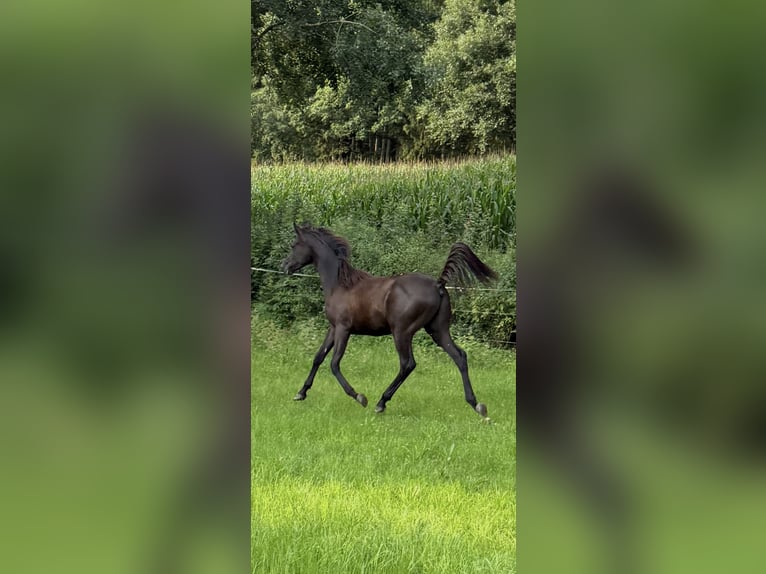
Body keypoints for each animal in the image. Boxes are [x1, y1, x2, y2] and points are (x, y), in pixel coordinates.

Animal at [282, 223, 498, 417]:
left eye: (294, 245)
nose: (284, 266)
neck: (340, 284)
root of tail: (438, 284)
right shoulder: (333, 328)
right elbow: (318, 357)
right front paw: (301, 393)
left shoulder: (343, 328)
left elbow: (334, 363)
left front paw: (359, 397)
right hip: (438, 330)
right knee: (459, 356)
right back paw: (477, 405)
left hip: (402, 332)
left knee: (407, 364)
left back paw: (381, 402)